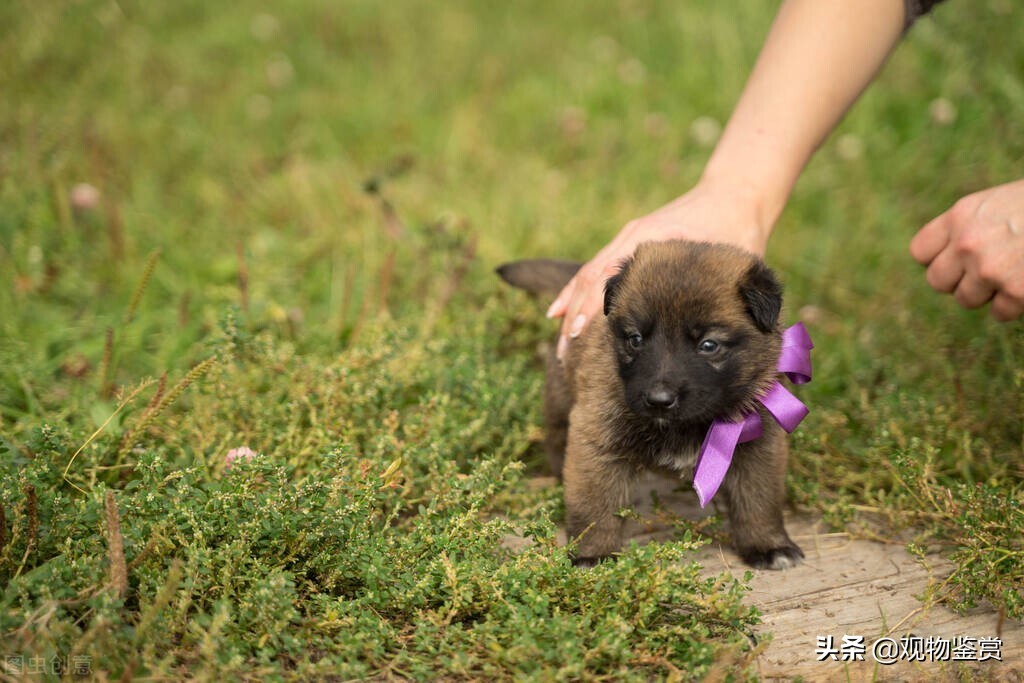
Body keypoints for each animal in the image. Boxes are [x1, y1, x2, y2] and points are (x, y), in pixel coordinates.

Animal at [499, 240, 802, 573]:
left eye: (709, 345)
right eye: (635, 339)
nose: (659, 400)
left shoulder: (759, 444)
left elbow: (759, 500)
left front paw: (768, 544)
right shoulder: (598, 439)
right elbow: (594, 504)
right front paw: (593, 552)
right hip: (560, 403)